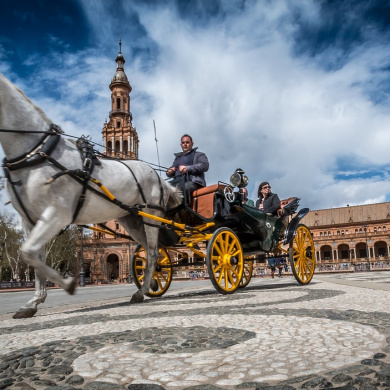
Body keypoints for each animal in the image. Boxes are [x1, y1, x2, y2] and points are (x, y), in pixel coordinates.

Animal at [0, 74, 182, 320]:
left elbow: (29, 253)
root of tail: (159, 177)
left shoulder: (57, 214)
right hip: (133, 220)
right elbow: (33, 256)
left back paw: (140, 291)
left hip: (151, 215)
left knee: (153, 252)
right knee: (150, 252)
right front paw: (34, 302)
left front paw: (67, 283)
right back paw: (151, 284)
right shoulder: (29, 220)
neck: (36, 152)